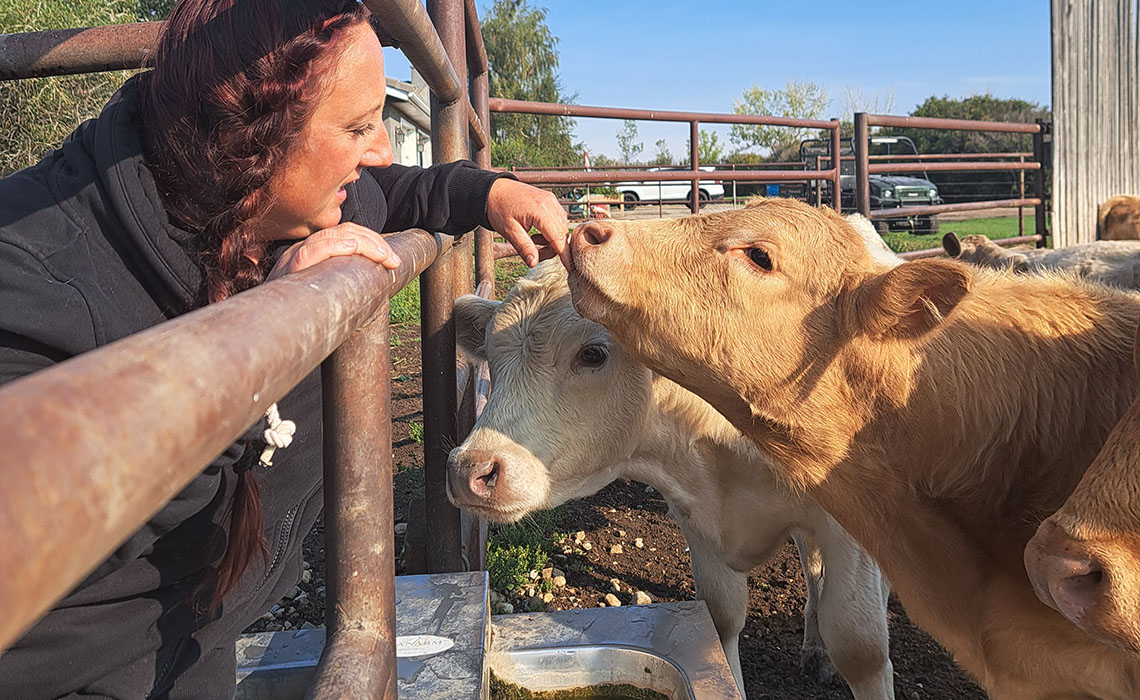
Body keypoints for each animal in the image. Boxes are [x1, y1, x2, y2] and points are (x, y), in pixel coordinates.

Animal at [449, 262, 893, 700]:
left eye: (593, 354)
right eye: (491, 355)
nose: (469, 469)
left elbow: (860, 647)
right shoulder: (697, 515)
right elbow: (722, 618)